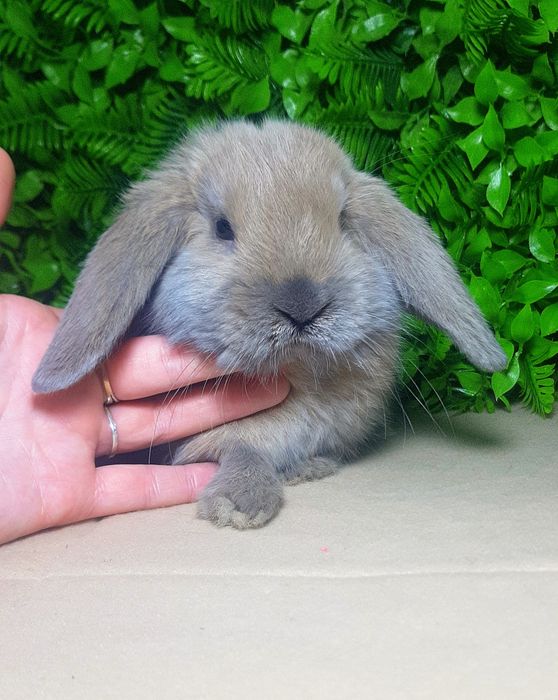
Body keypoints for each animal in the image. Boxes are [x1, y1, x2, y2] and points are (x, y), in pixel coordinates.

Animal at [32, 119, 507, 529]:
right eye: (222, 228)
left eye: (342, 221)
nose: (303, 304)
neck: (298, 369)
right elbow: (243, 452)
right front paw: (238, 506)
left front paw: (306, 468)